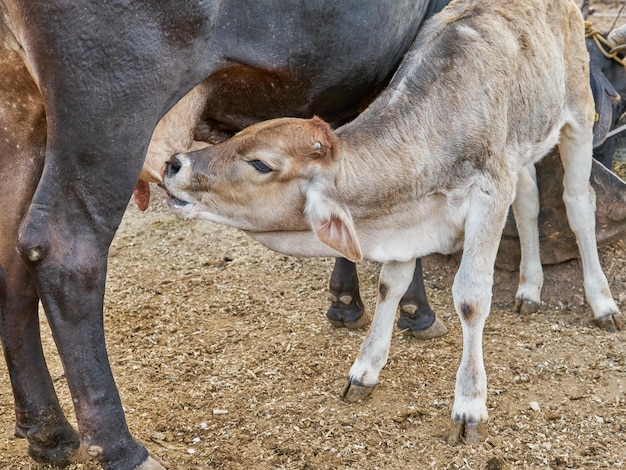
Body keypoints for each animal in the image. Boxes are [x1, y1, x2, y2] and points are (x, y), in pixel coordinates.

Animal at [0, 1, 450, 468]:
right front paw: (416, 309)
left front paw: (345, 300)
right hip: (113, 101)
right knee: (67, 251)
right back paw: (118, 445)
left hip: (19, 108)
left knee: (11, 258)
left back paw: (47, 431)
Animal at [165, 0, 620, 444]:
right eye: (241, 137)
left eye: (260, 163)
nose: (174, 163)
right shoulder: (410, 215)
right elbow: (390, 285)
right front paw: (364, 370)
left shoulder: (489, 192)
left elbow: (471, 297)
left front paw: (469, 406)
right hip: (524, 148)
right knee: (528, 203)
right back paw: (529, 288)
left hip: (579, 115)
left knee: (578, 203)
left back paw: (602, 303)